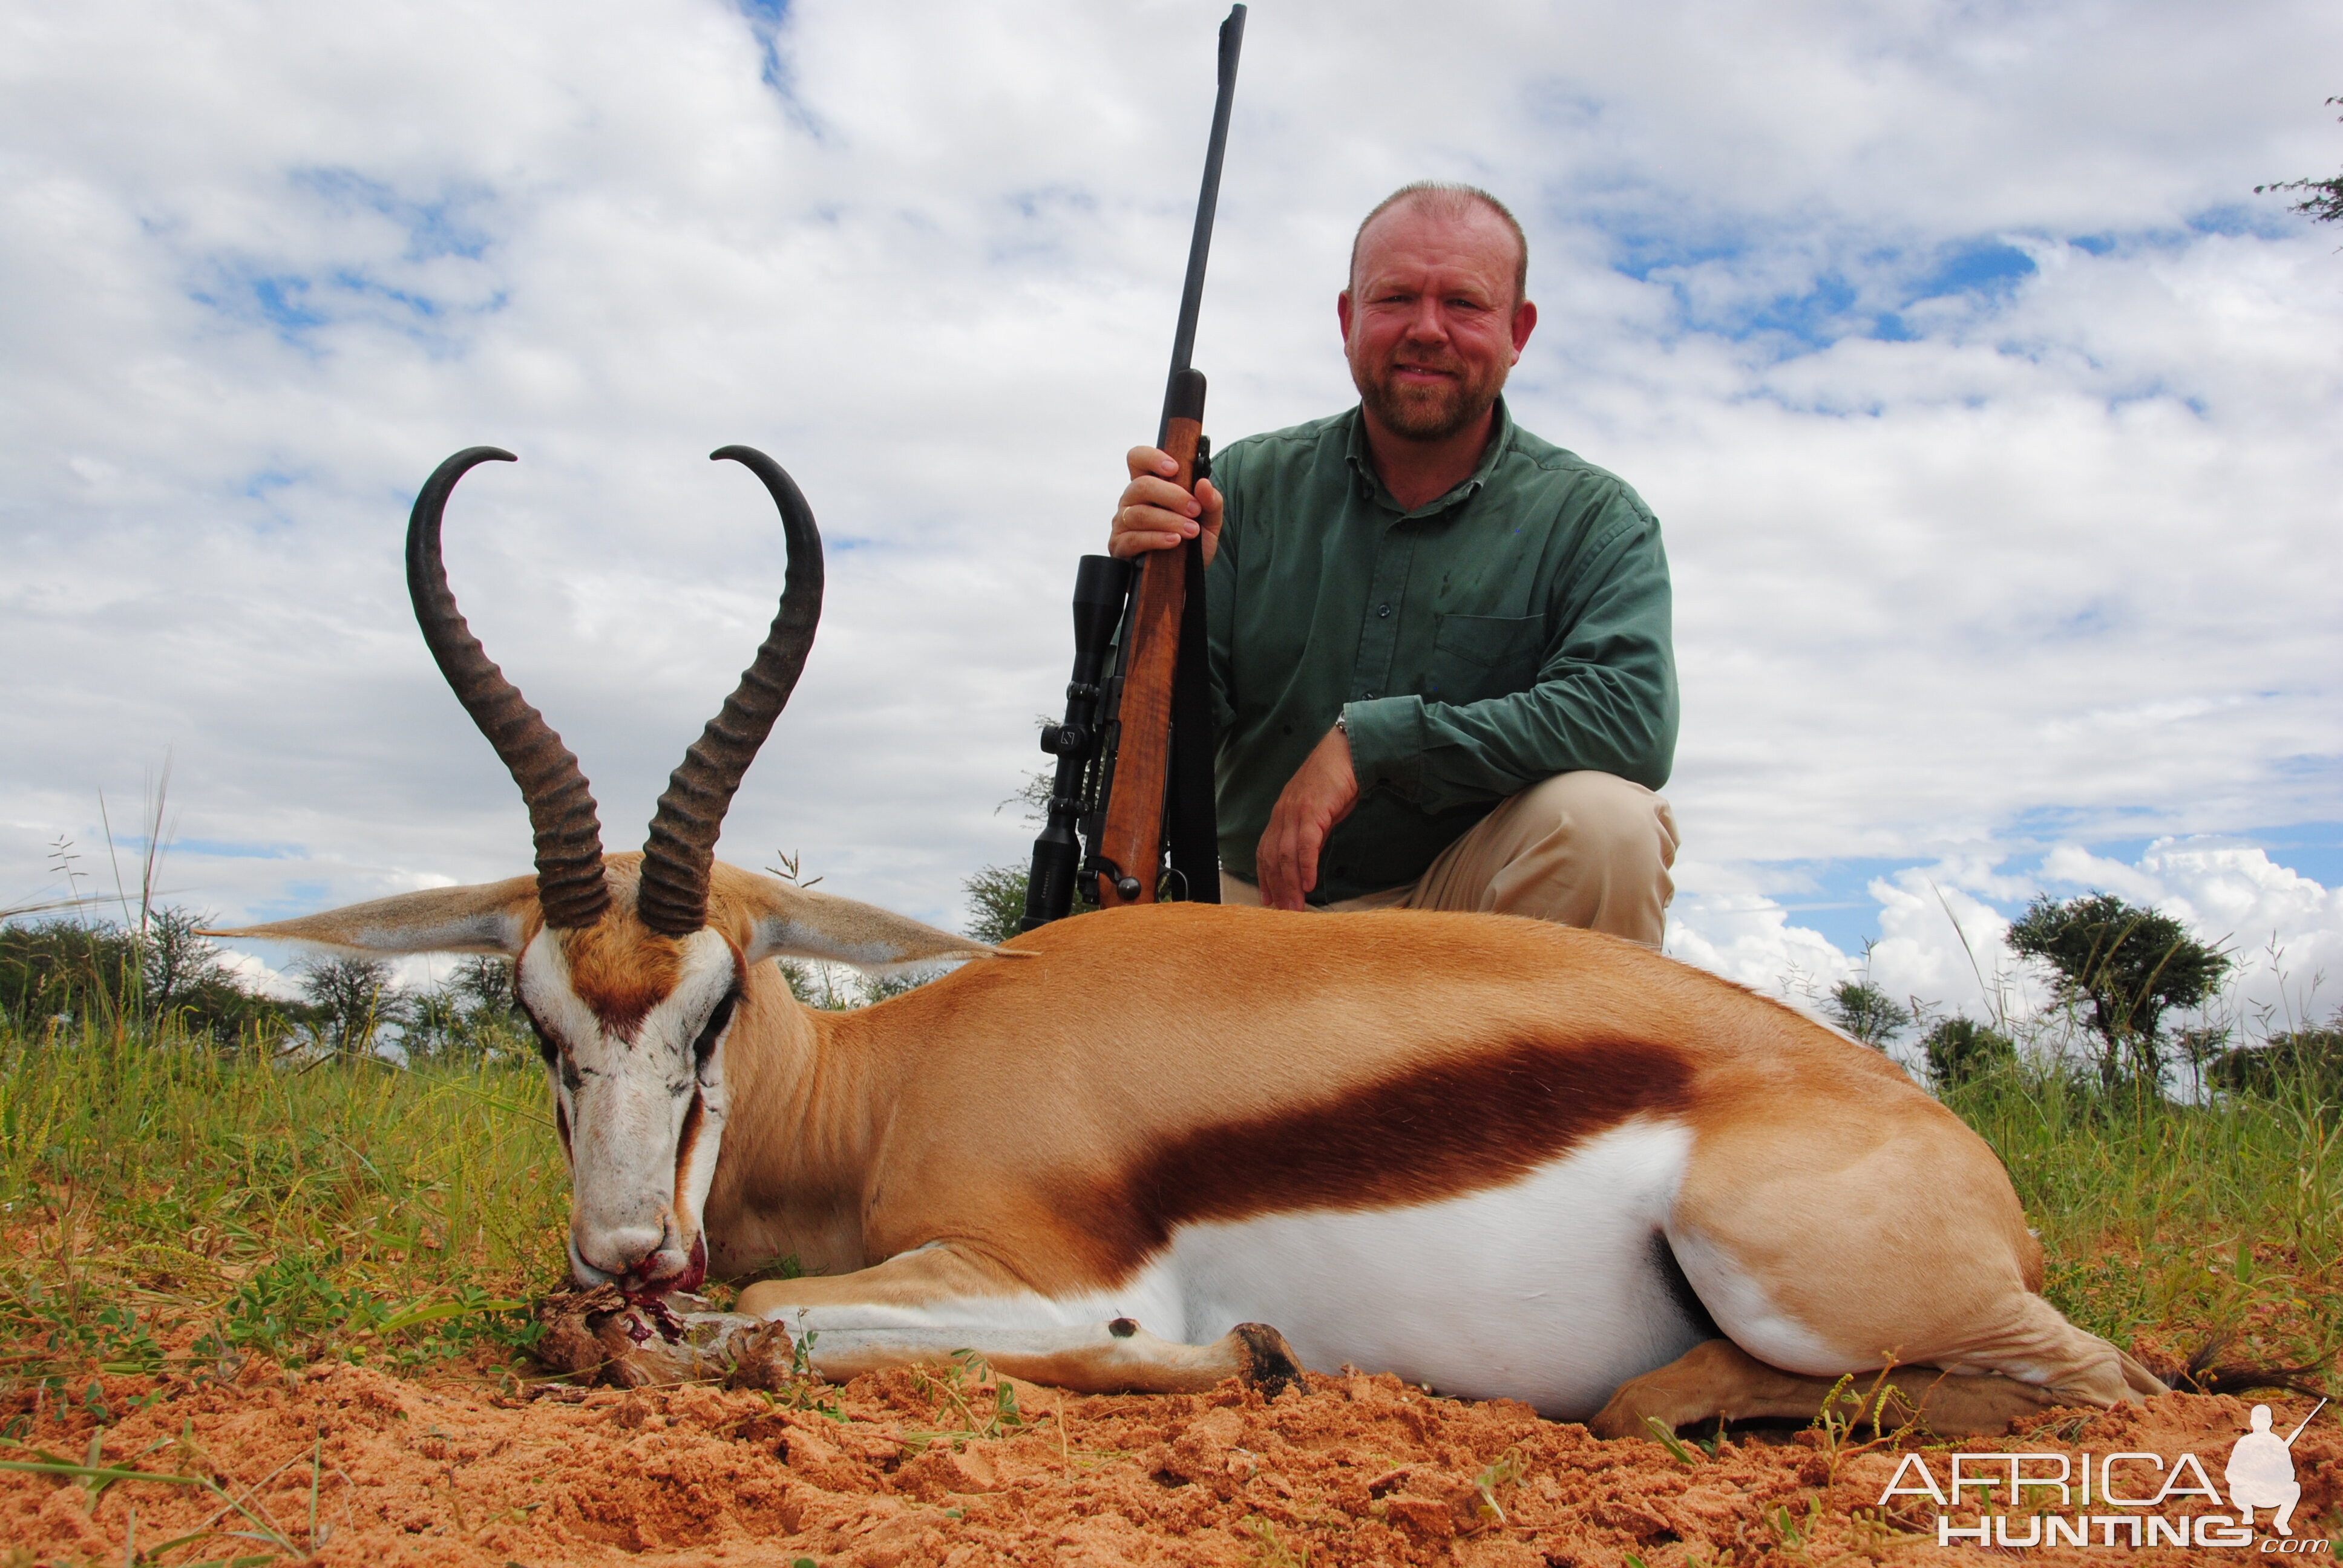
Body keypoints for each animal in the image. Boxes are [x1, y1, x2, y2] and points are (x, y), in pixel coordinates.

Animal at [211, 443, 2164, 1434]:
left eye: (719, 1003)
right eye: (534, 1019)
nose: (624, 1253)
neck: (900, 1076)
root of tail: (1961, 1156)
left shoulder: (1043, 1265)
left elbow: (770, 1321)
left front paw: (1244, 1357)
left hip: (1796, 1272)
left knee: (2101, 1380)